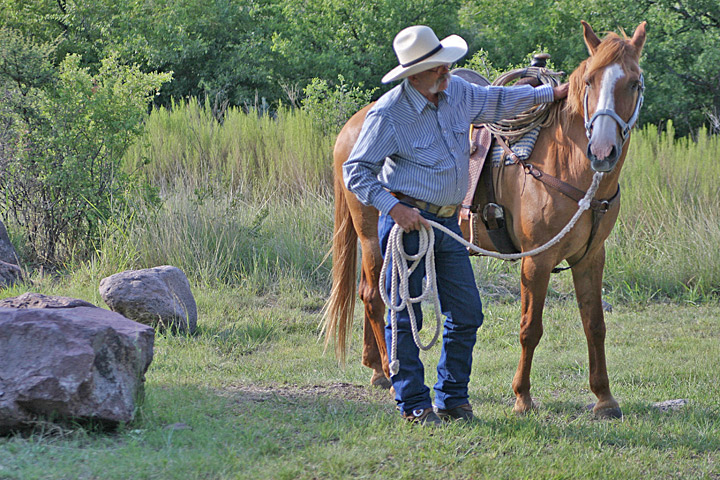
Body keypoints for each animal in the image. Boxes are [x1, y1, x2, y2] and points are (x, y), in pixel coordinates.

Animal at [324, 21, 644, 416]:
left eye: (634, 83)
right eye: (590, 81)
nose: (602, 150)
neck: (568, 165)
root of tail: (353, 127)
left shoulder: (591, 257)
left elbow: (594, 323)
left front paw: (604, 398)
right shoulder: (537, 260)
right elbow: (530, 327)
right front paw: (522, 397)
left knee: (372, 295)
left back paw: (374, 368)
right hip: (373, 238)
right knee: (375, 297)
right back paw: (388, 370)